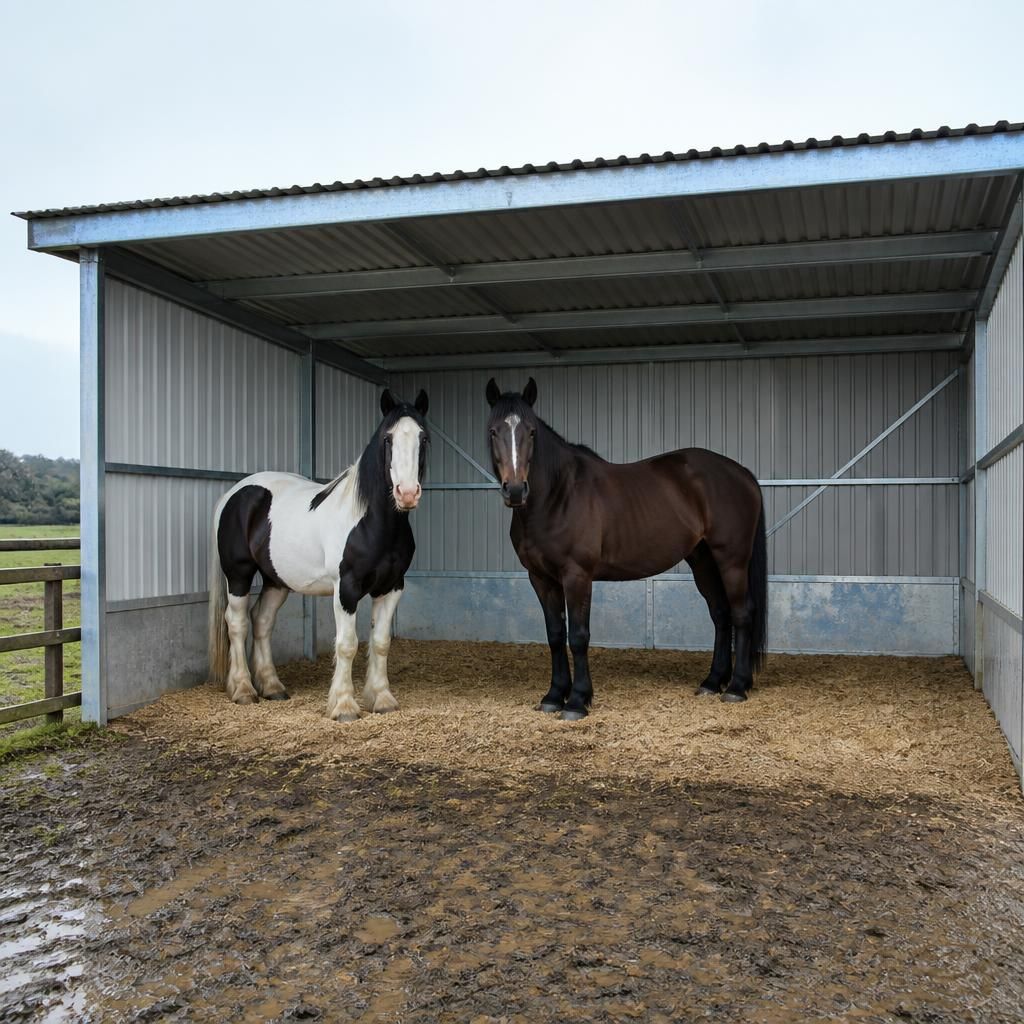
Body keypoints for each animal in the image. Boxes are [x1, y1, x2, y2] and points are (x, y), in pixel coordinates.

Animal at [207, 388, 430, 721]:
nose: (406, 493)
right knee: (237, 623)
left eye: (423, 438)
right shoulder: (346, 588)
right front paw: (344, 706)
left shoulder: (392, 587)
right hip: (238, 575)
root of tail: (234, 494)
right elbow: (347, 644)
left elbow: (380, 643)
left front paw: (382, 699)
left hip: (276, 581)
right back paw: (244, 690)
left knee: (262, 621)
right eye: (387, 439)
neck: (371, 522)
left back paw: (272, 687)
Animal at [485, 377, 767, 719]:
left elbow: (577, 636)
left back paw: (737, 687)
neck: (557, 495)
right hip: (703, 561)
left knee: (742, 613)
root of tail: (743, 474)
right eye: (493, 431)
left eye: (531, 432)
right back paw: (713, 682)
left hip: (732, 560)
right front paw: (553, 696)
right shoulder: (540, 578)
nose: (515, 490)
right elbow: (555, 635)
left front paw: (577, 701)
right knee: (721, 614)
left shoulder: (577, 576)